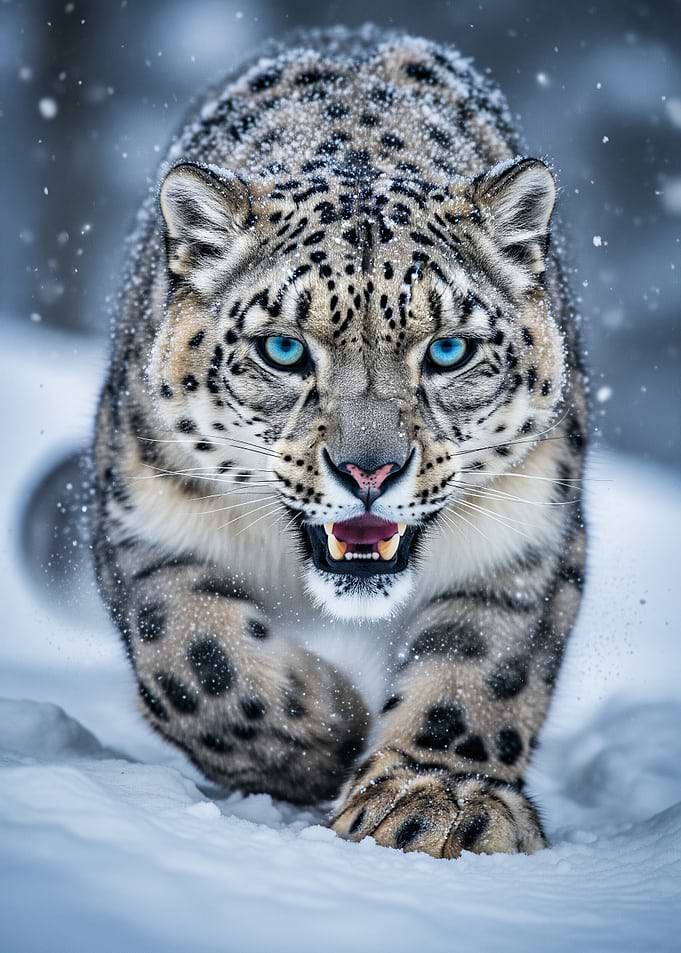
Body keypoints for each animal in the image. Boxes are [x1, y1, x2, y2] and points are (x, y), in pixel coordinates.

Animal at [92, 26, 588, 861]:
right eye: (283, 349)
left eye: (448, 349)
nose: (369, 470)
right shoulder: (147, 521)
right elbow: (196, 662)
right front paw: (332, 732)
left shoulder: (526, 530)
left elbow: (481, 666)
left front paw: (435, 799)